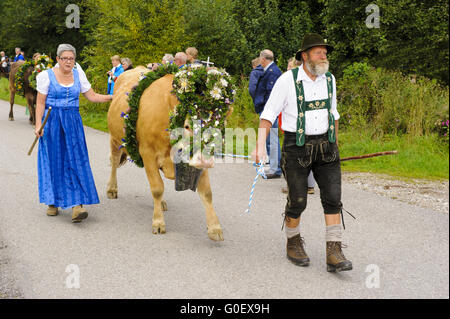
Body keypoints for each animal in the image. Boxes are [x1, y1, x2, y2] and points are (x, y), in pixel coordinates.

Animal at [106, 67, 225, 242]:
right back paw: (112, 189)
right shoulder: (147, 152)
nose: (206, 161)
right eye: (187, 126)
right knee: (114, 162)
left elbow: (207, 193)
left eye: (219, 124)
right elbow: (157, 188)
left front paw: (215, 228)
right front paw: (158, 223)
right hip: (115, 140)